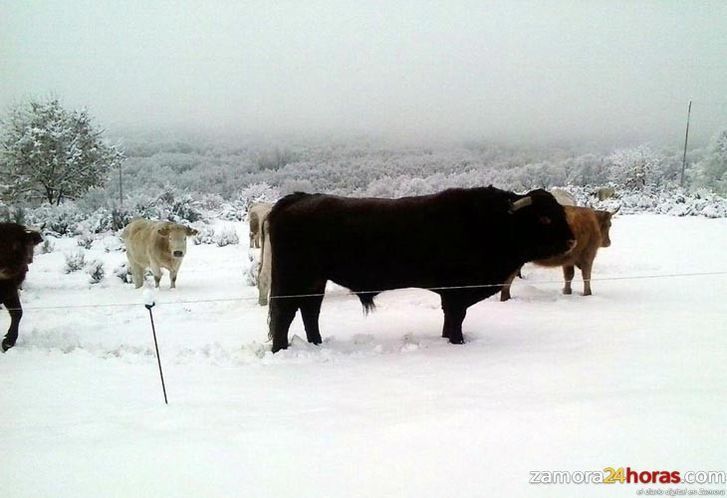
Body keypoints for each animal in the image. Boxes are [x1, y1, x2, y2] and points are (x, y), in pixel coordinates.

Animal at [264, 187, 576, 354]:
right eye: (545, 218)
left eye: (560, 212)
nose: (572, 240)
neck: (495, 222)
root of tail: (299, 198)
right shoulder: (456, 292)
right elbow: (456, 319)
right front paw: (457, 342)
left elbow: (450, 319)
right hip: (295, 279)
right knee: (285, 313)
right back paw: (281, 349)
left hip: (314, 281)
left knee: (309, 311)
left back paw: (316, 344)